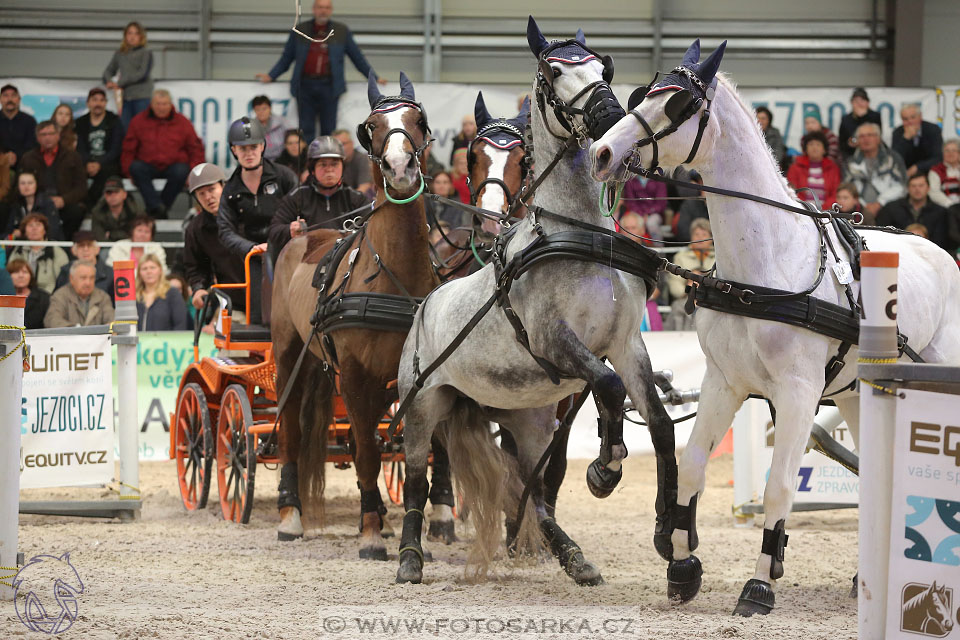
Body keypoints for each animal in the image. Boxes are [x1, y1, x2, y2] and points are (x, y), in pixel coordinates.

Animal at [390, 16, 676, 584]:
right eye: (552, 72)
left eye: (602, 67)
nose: (609, 114)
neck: (578, 236)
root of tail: (427, 304)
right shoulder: (552, 339)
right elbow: (610, 386)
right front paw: (606, 466)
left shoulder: (624, 342)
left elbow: (654, 420)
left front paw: (663, 527)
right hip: (424, 403)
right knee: (416, 477)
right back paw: (410, 555)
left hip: (529, 418)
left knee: (532, 484)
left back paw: (568, 553)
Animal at [588, 38, 960, 616]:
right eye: (641, 94)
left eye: (678, 105)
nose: (601, 152)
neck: (766, 267)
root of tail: (942, 252)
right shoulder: (724, 382)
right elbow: (693, 467)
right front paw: (683, 568)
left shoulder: (799, 392)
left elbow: (780, 486)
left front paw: (760, 584)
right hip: (858, 393)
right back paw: (863, 577)